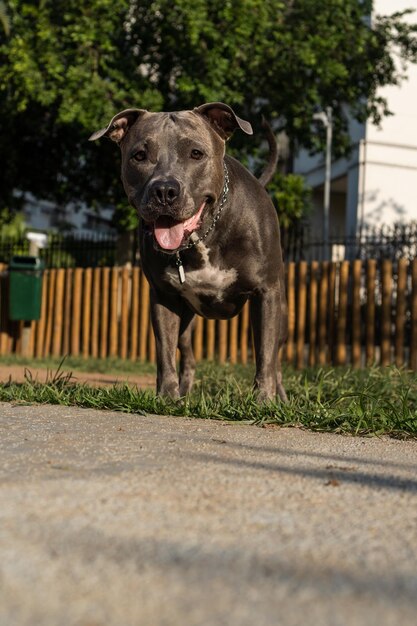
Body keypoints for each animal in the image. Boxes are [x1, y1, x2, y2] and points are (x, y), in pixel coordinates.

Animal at [89, 100, 286, 398]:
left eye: (196, 153)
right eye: (139, 156)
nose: (164, 191)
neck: (204, 235)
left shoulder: (266, 293)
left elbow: (265, 355)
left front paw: (263, 399)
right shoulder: (164, 296)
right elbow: (165, 351)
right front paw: (167, 396)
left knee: (276, 359)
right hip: (186, 318)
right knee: (187, 354)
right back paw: (184, 390)